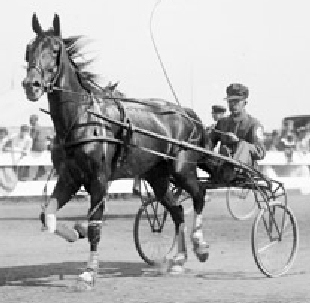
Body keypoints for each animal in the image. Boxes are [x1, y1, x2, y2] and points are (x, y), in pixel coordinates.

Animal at [23, 12, 209, 288]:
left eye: (55, 49)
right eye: (29, 49)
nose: (31, 85)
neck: (81, 119)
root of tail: (185, 112)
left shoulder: (99, 179)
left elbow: (95, 226)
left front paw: (89, 272)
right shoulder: (69, 178)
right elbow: (48, 215)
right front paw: (72, 232)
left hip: (182, 169)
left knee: (198, 196)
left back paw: (200, 246)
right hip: (158, 177)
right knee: (176, 211)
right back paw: (178, 260)